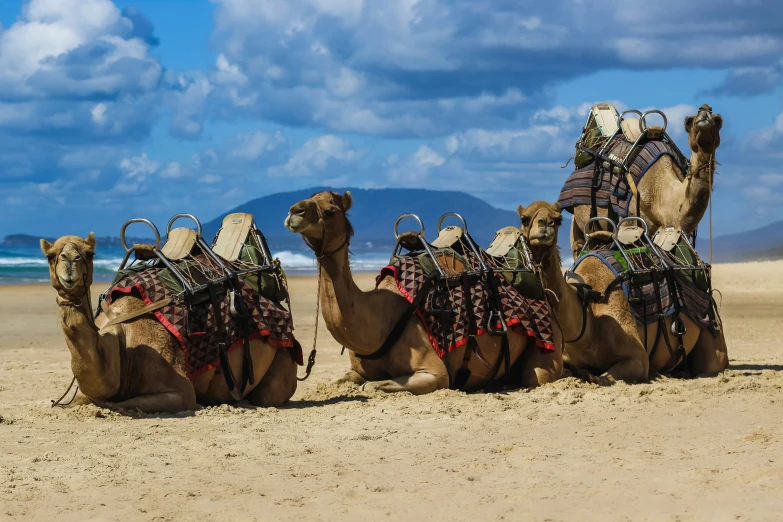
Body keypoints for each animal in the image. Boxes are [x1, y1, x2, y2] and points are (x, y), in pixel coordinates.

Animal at [43, 233, 300, 410]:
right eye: (51, 255)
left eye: (89, 254)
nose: (70, 261)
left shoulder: (179, 390)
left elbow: (119, 403)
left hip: (281, 355)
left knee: (267, 396)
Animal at [286, 189, 564, 392]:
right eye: (311, 198)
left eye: (330, 211)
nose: (293, 211)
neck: (383, 319)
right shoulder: (356, 370)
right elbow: (344, 382)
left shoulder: (435, 373)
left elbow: (372, 387)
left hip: (547, 344)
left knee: (538, 376)